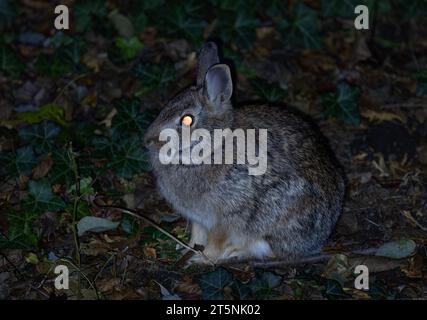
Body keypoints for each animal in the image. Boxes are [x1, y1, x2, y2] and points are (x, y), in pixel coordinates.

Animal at [145, 42, 346, 262]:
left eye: (187, 120)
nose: (148, 140)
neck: (214, 147)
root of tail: (323, 235)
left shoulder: (227, 214)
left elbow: (216, 240)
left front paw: (203, 259)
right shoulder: (198, 218)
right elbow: (197, 234)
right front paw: (187, 250)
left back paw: (234, 252)